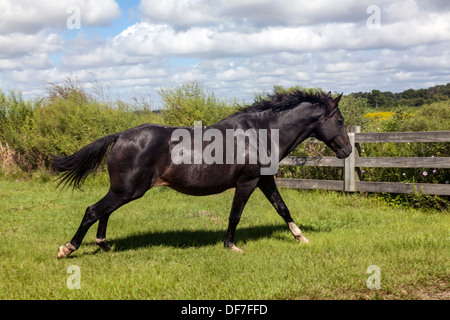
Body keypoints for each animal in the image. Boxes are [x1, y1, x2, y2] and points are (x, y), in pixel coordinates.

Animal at [54, 89, 352, 258]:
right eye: (339, 120)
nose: (348, 151)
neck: (260, 133)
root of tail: (120, 136)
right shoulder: (248, 182)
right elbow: (235, 215)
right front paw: (231, 246)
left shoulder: (265, 180)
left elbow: (283, 208)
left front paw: (301, 238)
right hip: (127, 190)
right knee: (93, 210)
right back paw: (68, 249)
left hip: (123, 190)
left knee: (104, 212)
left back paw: (104, 245)